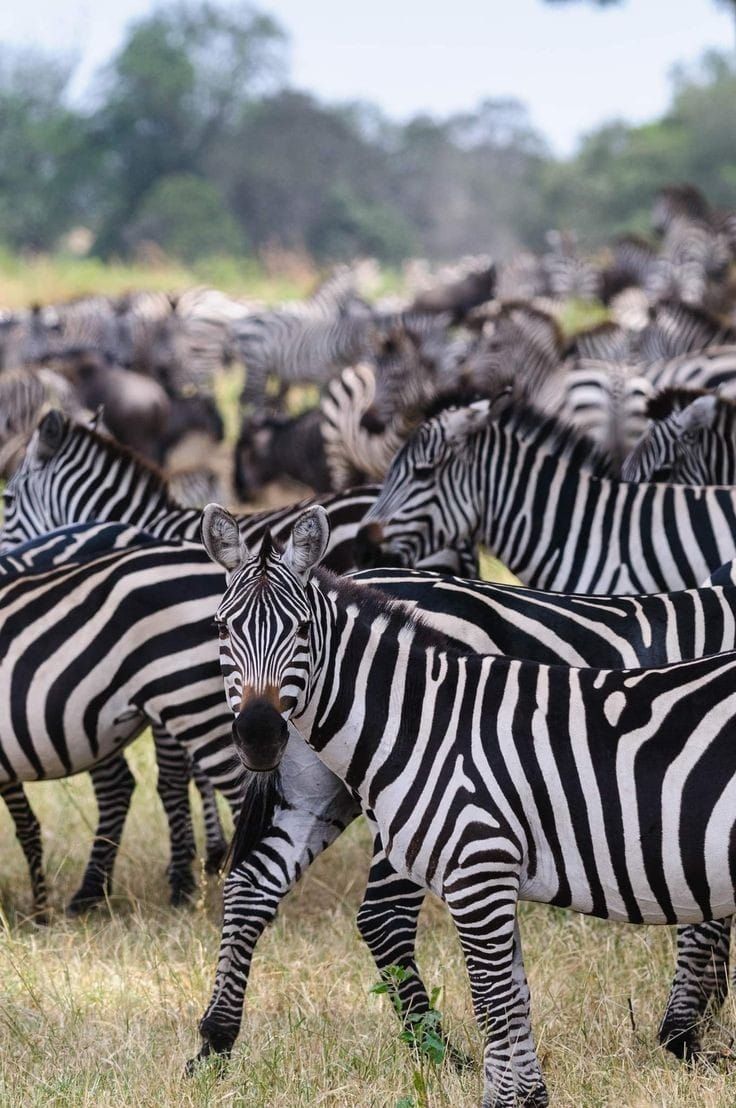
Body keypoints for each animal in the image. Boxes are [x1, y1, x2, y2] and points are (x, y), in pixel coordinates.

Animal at [203, 503, 736, 1108]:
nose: (259, 735)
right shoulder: (482, 873)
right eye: (220, 628)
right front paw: (687, 1036)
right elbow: (506, 1004)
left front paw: (689, 1035)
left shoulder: (485, 871)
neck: (429, 716)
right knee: (335, 905)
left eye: (301, 629)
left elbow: (503, 1004)